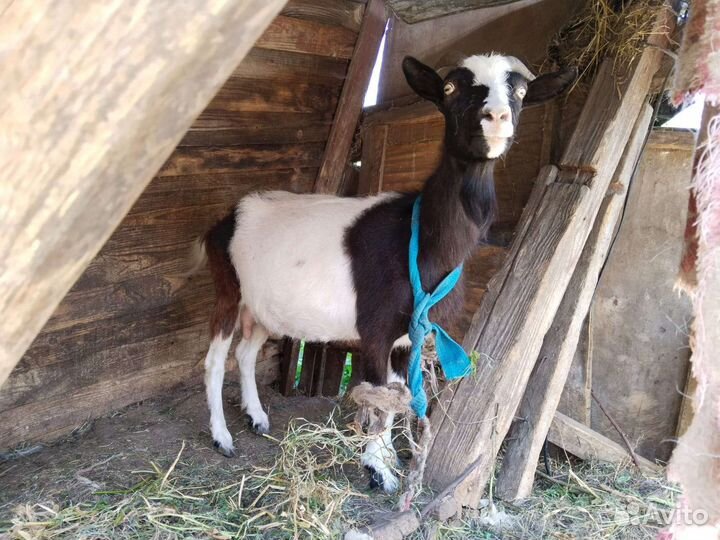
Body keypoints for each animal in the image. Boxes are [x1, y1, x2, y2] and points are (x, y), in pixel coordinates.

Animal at [199, 54, 575, 493]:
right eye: (449, 88)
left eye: (521, 91)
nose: (495, 117)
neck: (419, 239)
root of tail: (227, 218)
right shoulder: (375, 329)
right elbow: (380, 395)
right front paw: (378, 470)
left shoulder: (411, 335)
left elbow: (397, 394)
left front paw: (389, 460)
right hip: (228, 287)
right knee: (215, 359)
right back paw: (221, 437)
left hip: (262, 306)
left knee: (245, 352)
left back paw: (256, 417)